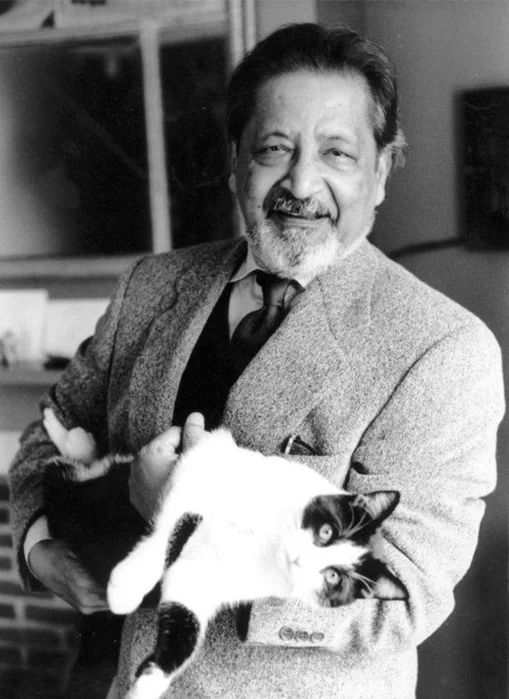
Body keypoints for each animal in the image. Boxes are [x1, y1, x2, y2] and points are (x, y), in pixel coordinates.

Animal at [42, 408, 408, 699]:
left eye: (334, 577)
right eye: (328, 531)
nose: (300, 559)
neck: (266, 542)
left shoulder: (206, 579)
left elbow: (185, 627)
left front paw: (147, 684)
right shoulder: (204, 465)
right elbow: (171, 529)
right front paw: (128, 585)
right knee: (59, 473)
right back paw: (65, 432)